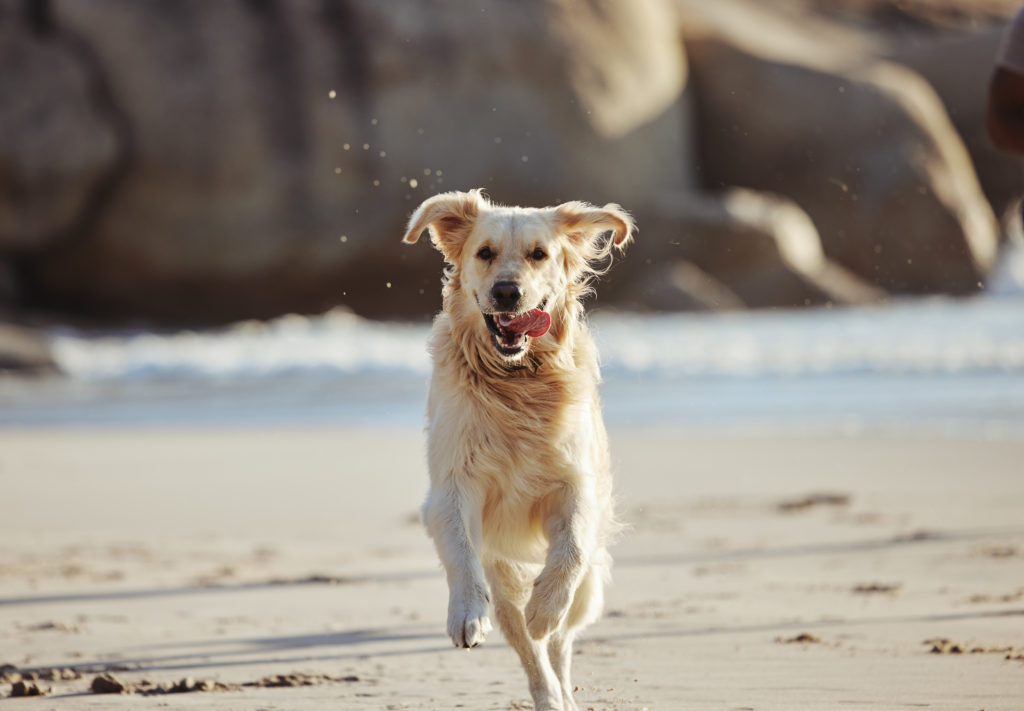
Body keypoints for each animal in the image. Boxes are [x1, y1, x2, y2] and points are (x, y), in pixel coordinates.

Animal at [401, 190, 630, 711]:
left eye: (539, 254)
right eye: (484, 253)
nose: (507, 292)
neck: (516, 381)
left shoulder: (576, 483)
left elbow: (570, 550)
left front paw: (544, 607)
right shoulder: (452, 485)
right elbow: (460, 551)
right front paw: (466, 614)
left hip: (589, 589)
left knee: (560, 640)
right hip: (503, 576)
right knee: (527, 645)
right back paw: (547, 694)